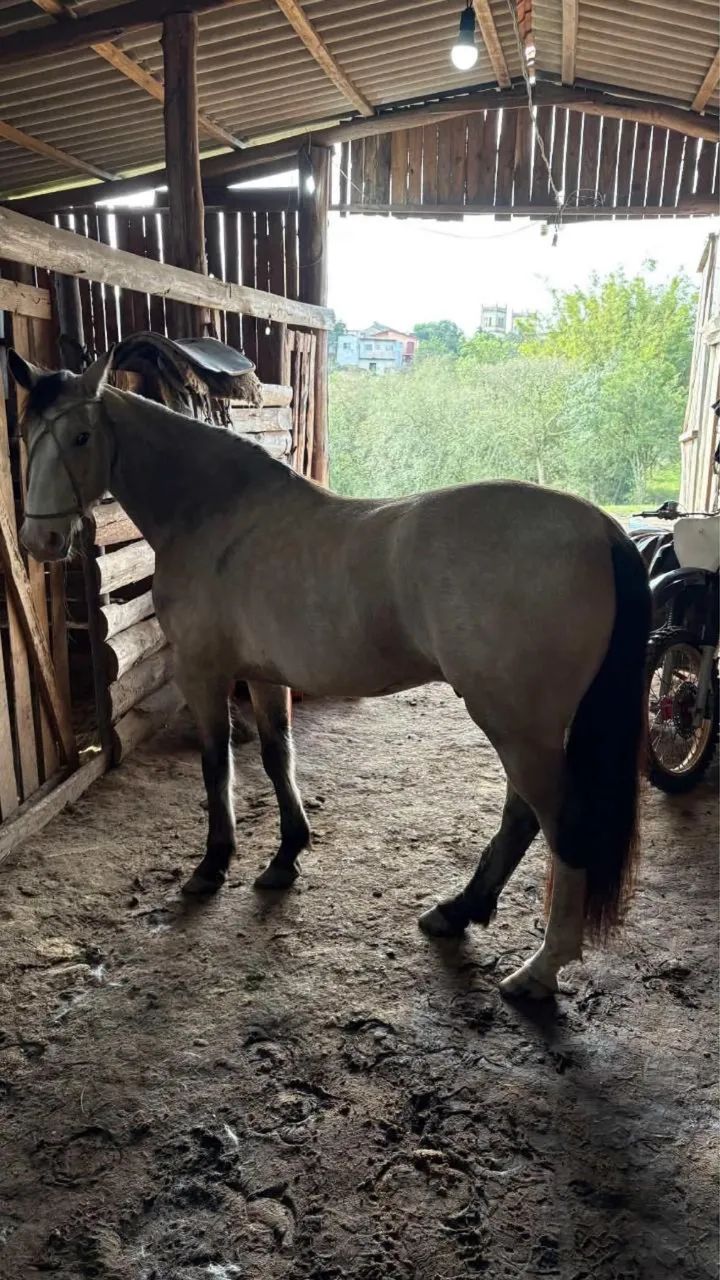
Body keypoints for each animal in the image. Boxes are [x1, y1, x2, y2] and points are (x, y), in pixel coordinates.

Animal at [9, 349, 650, 1001]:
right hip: (527, 727)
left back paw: (540, 969)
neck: (218, 518)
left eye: (81, 436)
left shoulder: (203, 674)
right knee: (522, 817)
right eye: (26, 436)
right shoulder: (264, 676)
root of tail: (601, 528)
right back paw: (457, 911)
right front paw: (284, 858)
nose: (41, 539)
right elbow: (277, 756)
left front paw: (213, 866)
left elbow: (217, 766)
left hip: (517, 726)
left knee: (560, 824)